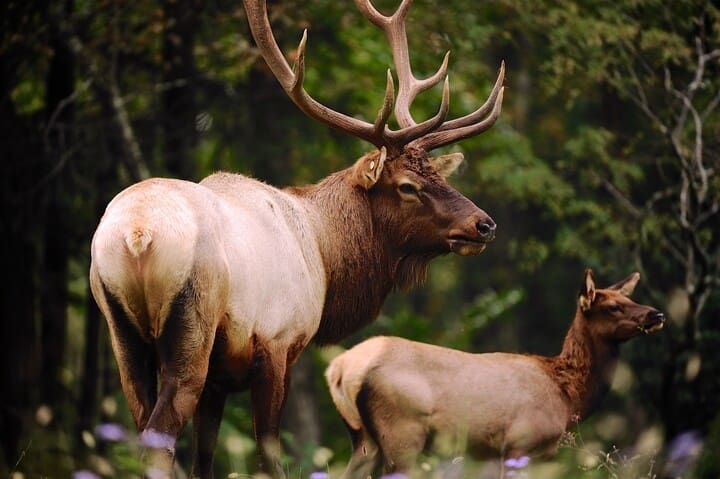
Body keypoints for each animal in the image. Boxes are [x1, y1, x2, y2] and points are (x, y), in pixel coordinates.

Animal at [88, 0, 505, 477]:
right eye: (407, 186)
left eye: (439, 175)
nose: (484, 224)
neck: (323, 254)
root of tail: (137, 233)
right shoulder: (277, 343)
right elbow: (270, 453)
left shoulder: (219, 378)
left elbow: (205, 457)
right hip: (192, 325)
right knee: (159, 436)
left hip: (121, 330)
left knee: (141, 424)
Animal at [325, 269, 665, 478]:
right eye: (612, 306)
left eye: (630, 298)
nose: (657, 313)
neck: (568, 398)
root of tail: (340, 369)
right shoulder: (521, 443)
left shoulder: (494, 453)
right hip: (402, 430)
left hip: (363, 437)